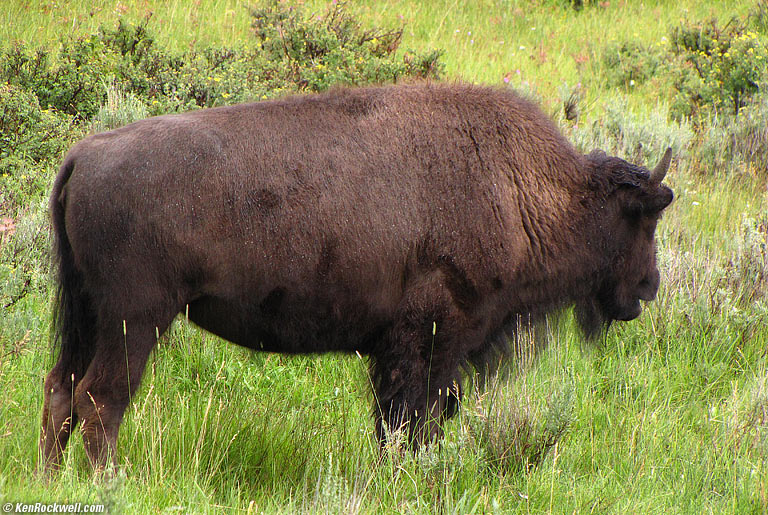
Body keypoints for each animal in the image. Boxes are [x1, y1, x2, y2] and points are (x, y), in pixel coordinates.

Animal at [40, 83, 673, 473]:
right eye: (645, 216)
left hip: (89, 317)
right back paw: (108, 482)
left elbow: (402, 420)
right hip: (135, 321)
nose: (648, 287)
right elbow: (414, 420)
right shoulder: (431, 341)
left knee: (60, 391)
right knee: (100, 401)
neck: (526, 193)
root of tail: (82, 156)